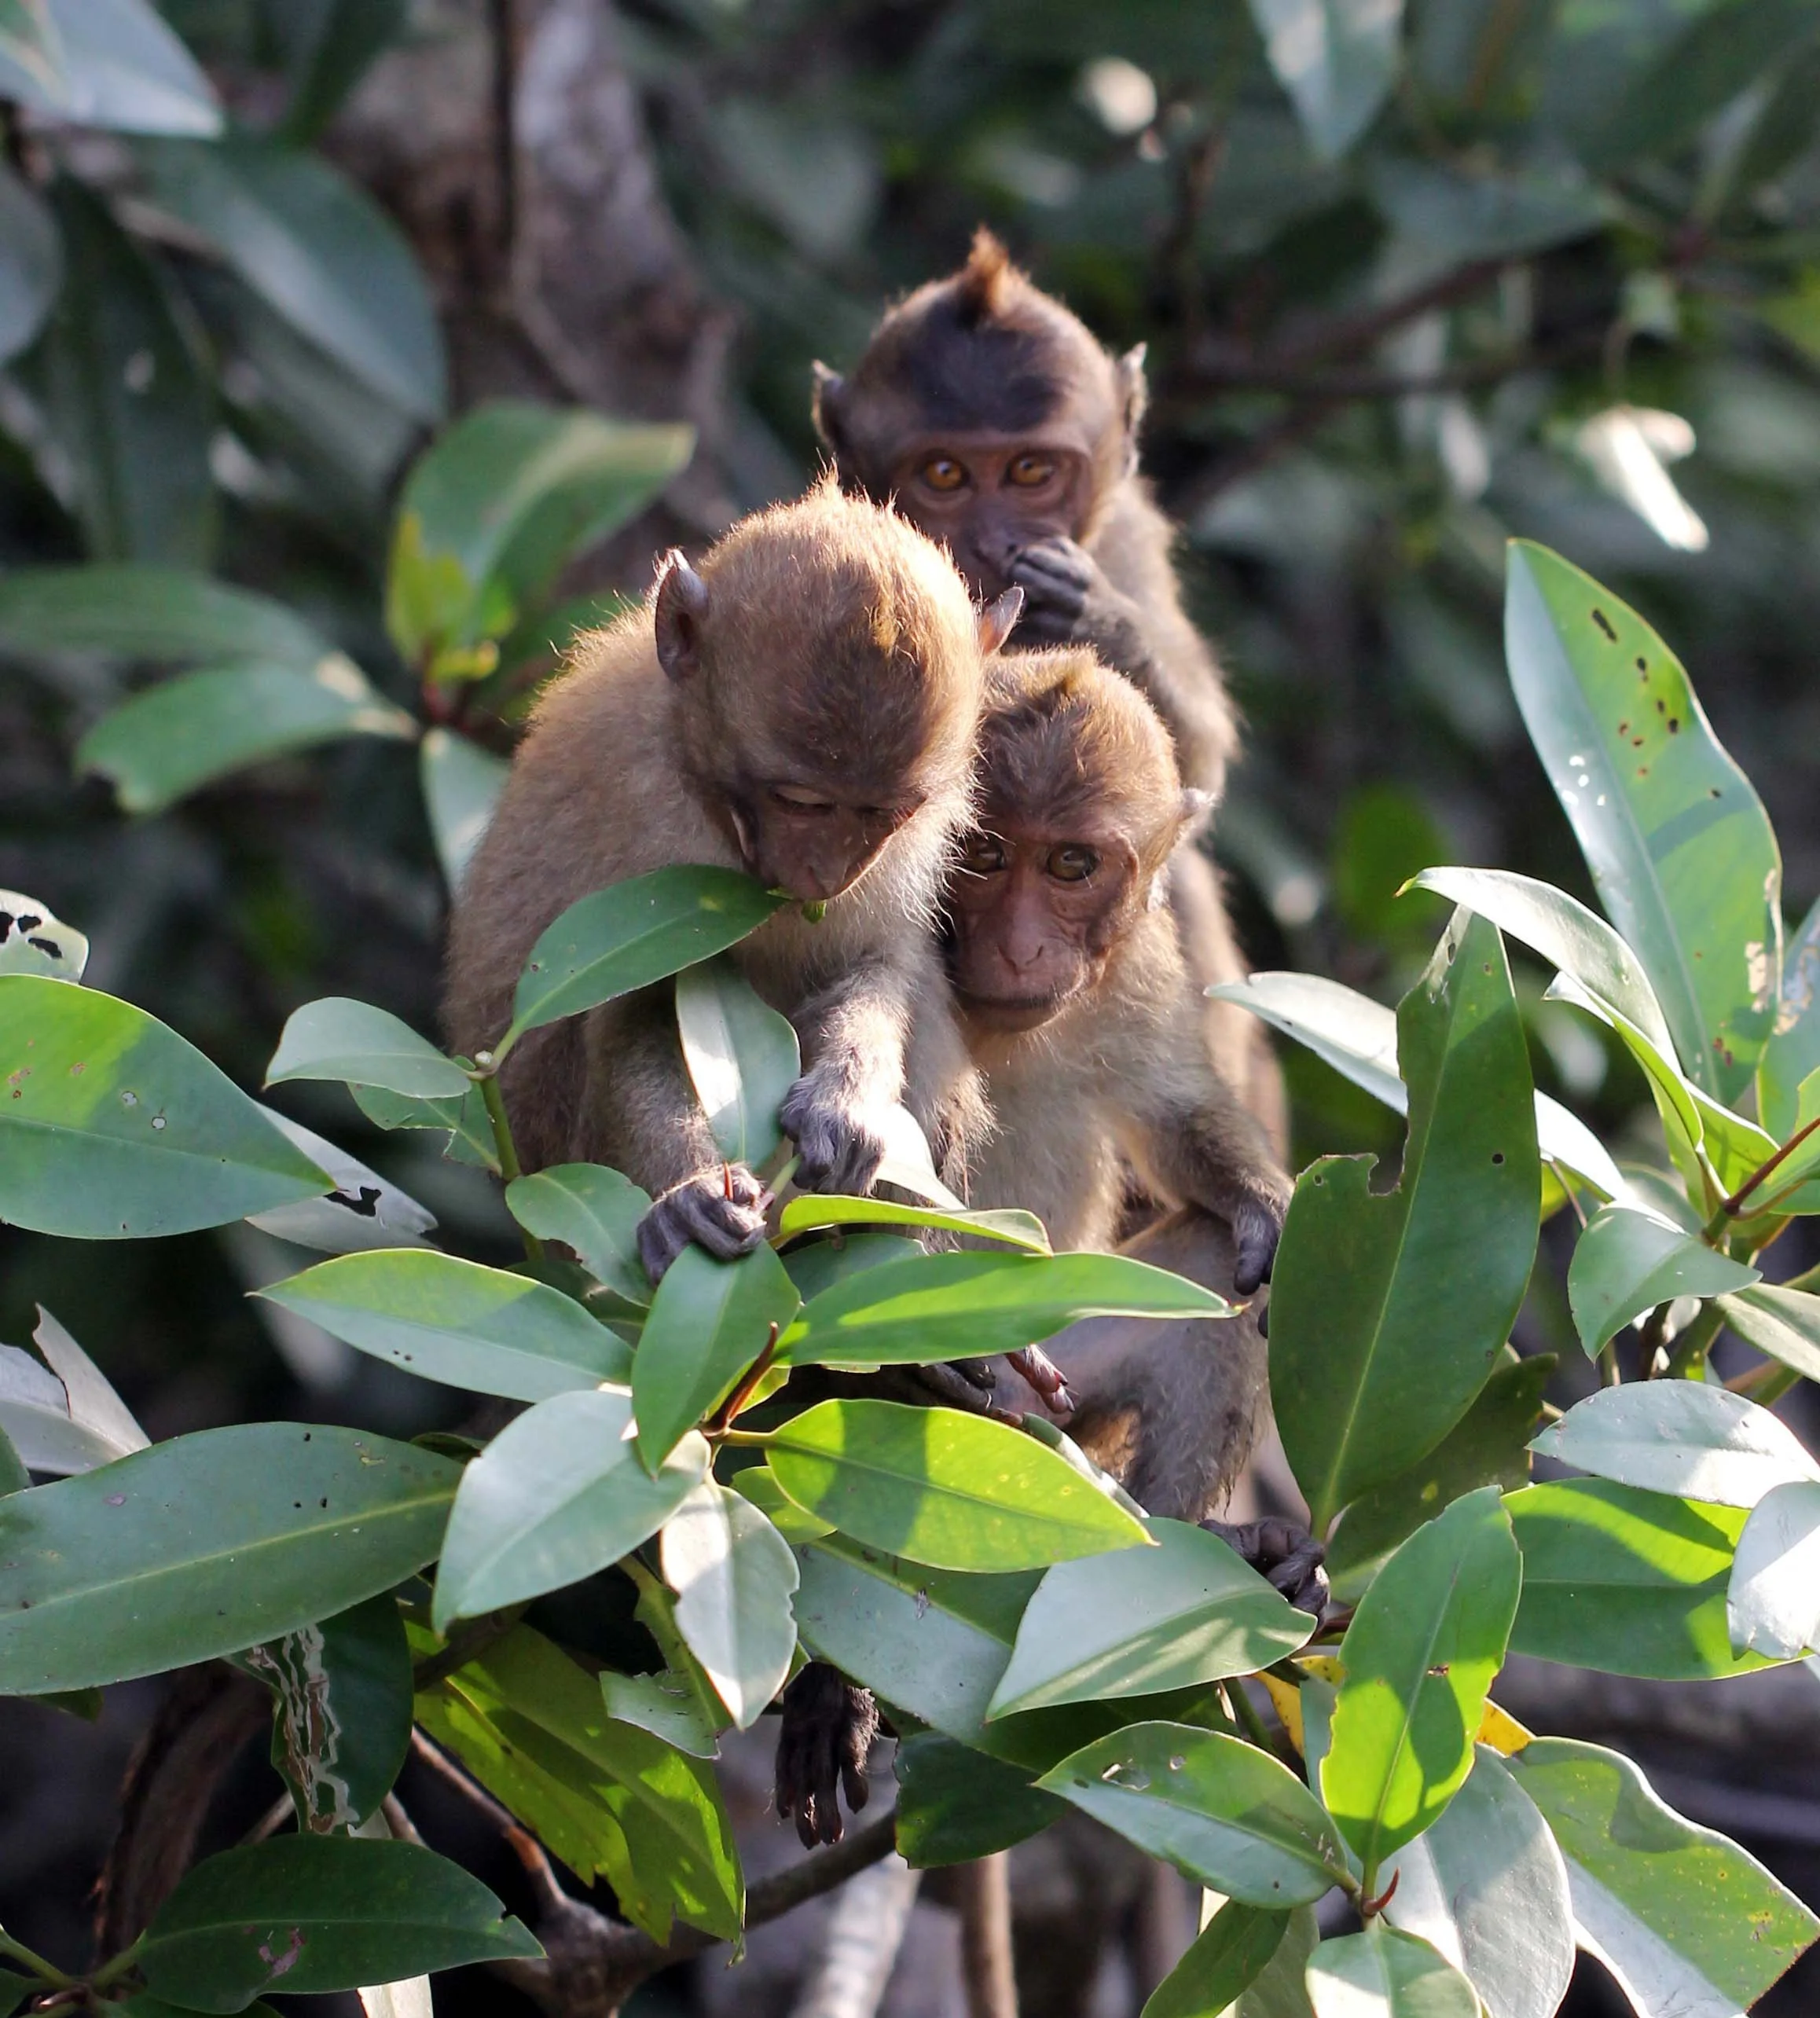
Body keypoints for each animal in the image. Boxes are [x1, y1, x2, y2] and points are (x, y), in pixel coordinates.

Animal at [443, 481, 1018, 1280]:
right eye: (800, 801)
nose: (824, 873)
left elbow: (884, 957)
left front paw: (847, 1103)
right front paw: (688, 1195)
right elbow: (638, 1014)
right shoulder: (649, 832)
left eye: (886, 814)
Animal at [812, 227, 1285, 1150]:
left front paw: (1090, 611)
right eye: (946, 475)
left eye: (1031, 471)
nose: (995, 546)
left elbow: (1198, 757)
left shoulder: (1127, 526)